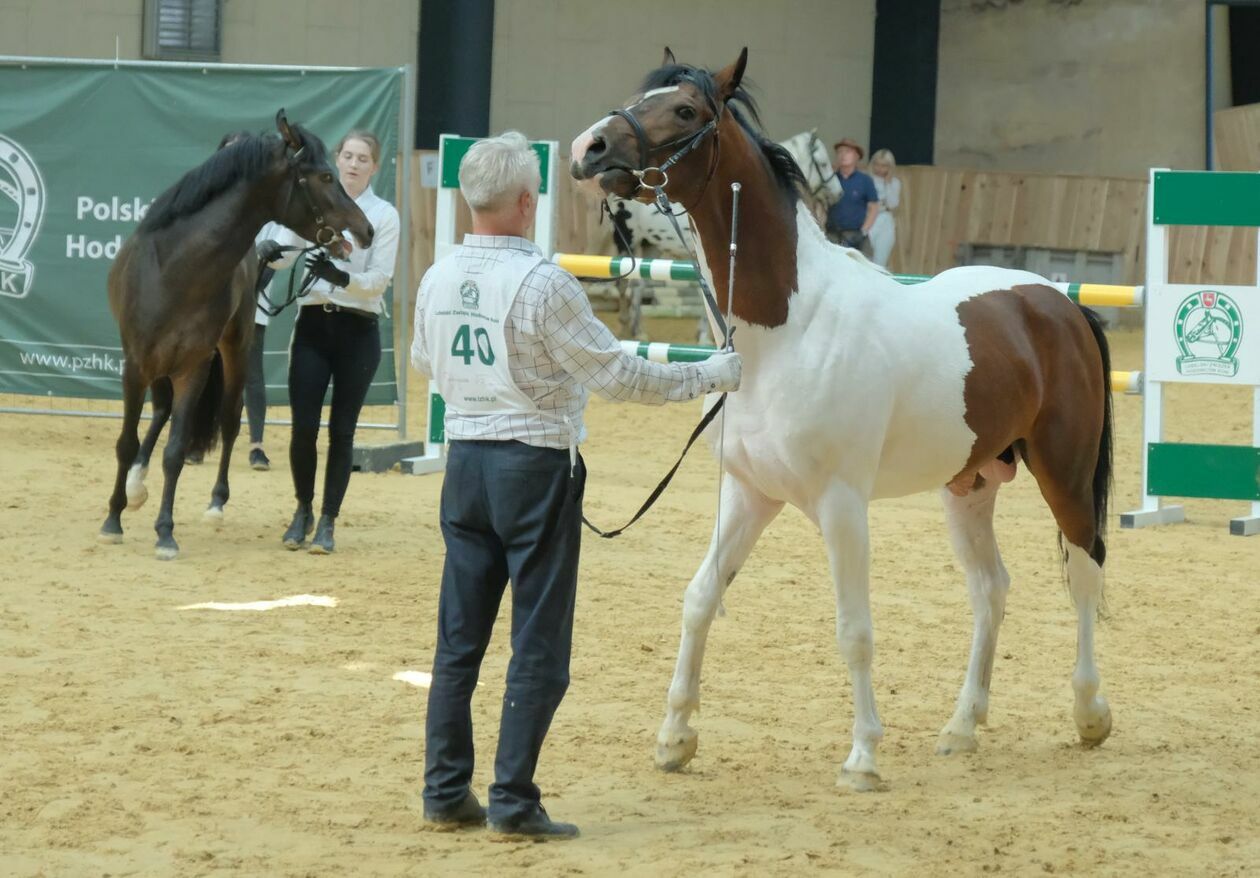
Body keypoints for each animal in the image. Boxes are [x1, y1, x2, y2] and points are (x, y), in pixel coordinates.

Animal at [100, 111, 370, 561]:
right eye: (326, 177)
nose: (366, 230)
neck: (174, 267)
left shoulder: (193, 366)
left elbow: (175, 451)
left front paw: (165, 533)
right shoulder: (134, 365)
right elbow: (125, 442)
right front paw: (113, 520)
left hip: (234, 350)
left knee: (227, 421)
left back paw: (215, 504)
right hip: (157, 365)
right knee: (159, 413)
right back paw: (136, 485)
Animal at [572, 46, 1113, 786]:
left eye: (683, 109)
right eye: (639, 97)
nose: (588, 148)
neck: (788, 332)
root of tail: (1060, 303)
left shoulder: (841, 503)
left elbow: (854, 629)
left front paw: (862, 757)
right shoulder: (749, 493)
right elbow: (701, 596)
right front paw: (675, 737)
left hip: (1065, 474)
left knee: (1084, 572)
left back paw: (1090, 715)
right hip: (969, 484)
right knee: (991, 590)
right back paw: (962, 727)